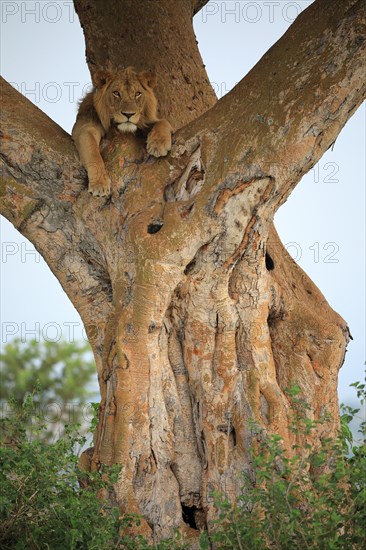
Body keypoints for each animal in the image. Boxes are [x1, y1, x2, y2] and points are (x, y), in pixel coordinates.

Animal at [73, 67, 174, 197]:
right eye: (116, 93)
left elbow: (163, 121)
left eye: (137, 94)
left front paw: (158, 144)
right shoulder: (85, 128)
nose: (128, 114)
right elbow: (93, 154)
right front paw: (100, 184)